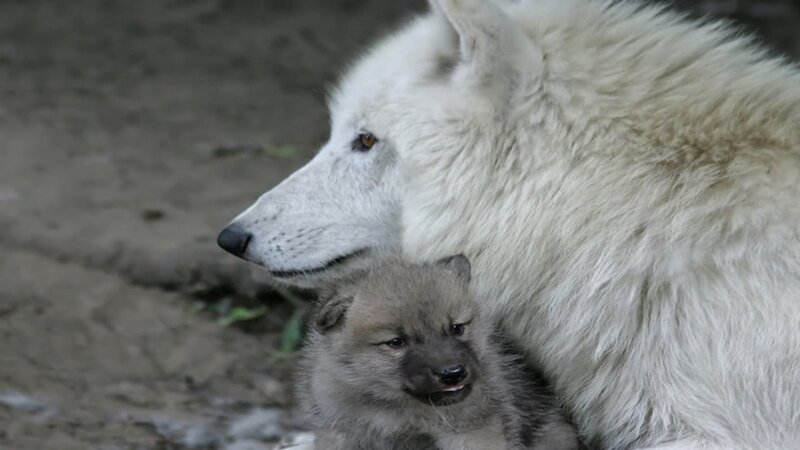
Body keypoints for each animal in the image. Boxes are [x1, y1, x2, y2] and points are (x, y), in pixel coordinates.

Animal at [297, 255, 583, 450]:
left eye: (457, 328)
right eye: (397, 342)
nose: (453, 374)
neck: (393, 409)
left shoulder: (471, 432)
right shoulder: (338, 434)